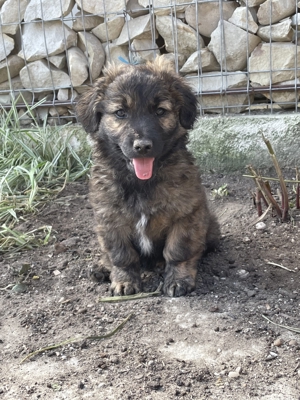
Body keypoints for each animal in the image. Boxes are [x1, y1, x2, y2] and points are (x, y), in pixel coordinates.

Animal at [75, 58, 220, 296]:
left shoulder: (186, 214)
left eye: (160, 111)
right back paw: (102, 268)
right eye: (120, 113)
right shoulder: (110, 219)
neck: (141, 183)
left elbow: (178, 250)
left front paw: (178, 280)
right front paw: (124, 281)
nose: (142, 146)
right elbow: (120, 255)